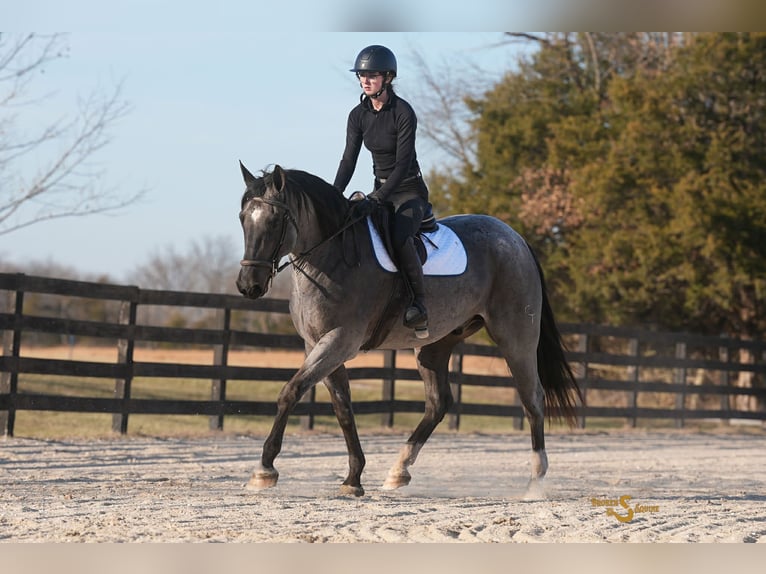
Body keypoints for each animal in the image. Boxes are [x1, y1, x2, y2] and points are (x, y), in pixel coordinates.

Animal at [236, 163, 581, 497]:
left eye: (275, 219)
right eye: (242, 218)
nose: (248, 285)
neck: (331, 256)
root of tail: (516, 239)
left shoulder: (339, 341)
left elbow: (291, 391)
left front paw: (264, 470)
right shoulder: (317, 343)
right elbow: (342, 407)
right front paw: (354, 478)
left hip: (516, 338)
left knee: (532, 398)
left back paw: (535, 482)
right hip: (434, 345)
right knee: (438, 403)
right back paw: (398, 471)